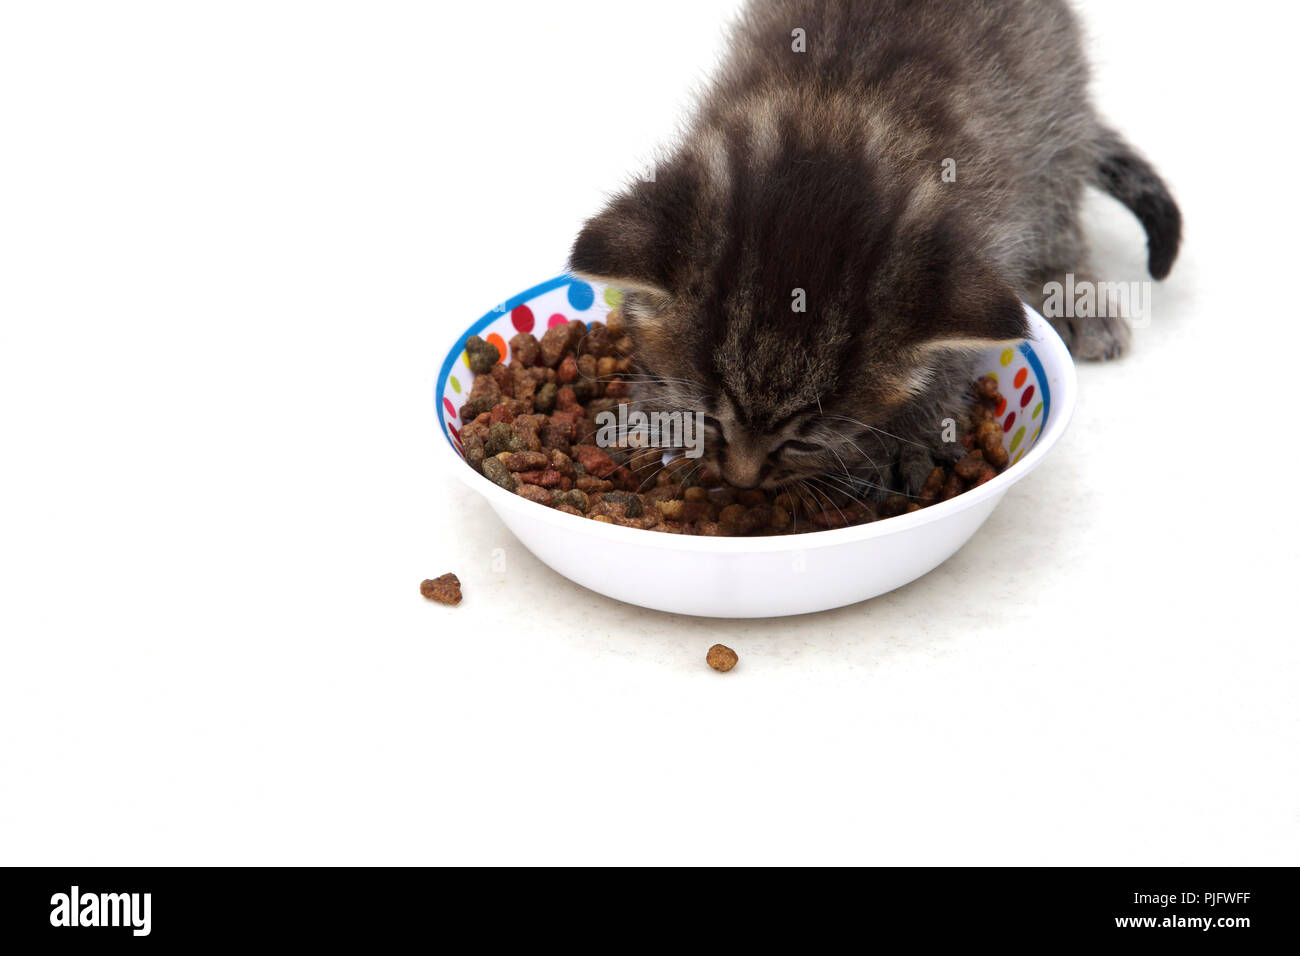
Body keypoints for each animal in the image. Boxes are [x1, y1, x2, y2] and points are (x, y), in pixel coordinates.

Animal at [569, 0, 1180, 494]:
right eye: (708, 418)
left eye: (806, 442)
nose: (741, 482)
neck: (833, 113)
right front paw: (656, 412)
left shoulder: (985, 228)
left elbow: (950, 367)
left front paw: (909, 439)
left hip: (1054, 112)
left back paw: (1073, 294)